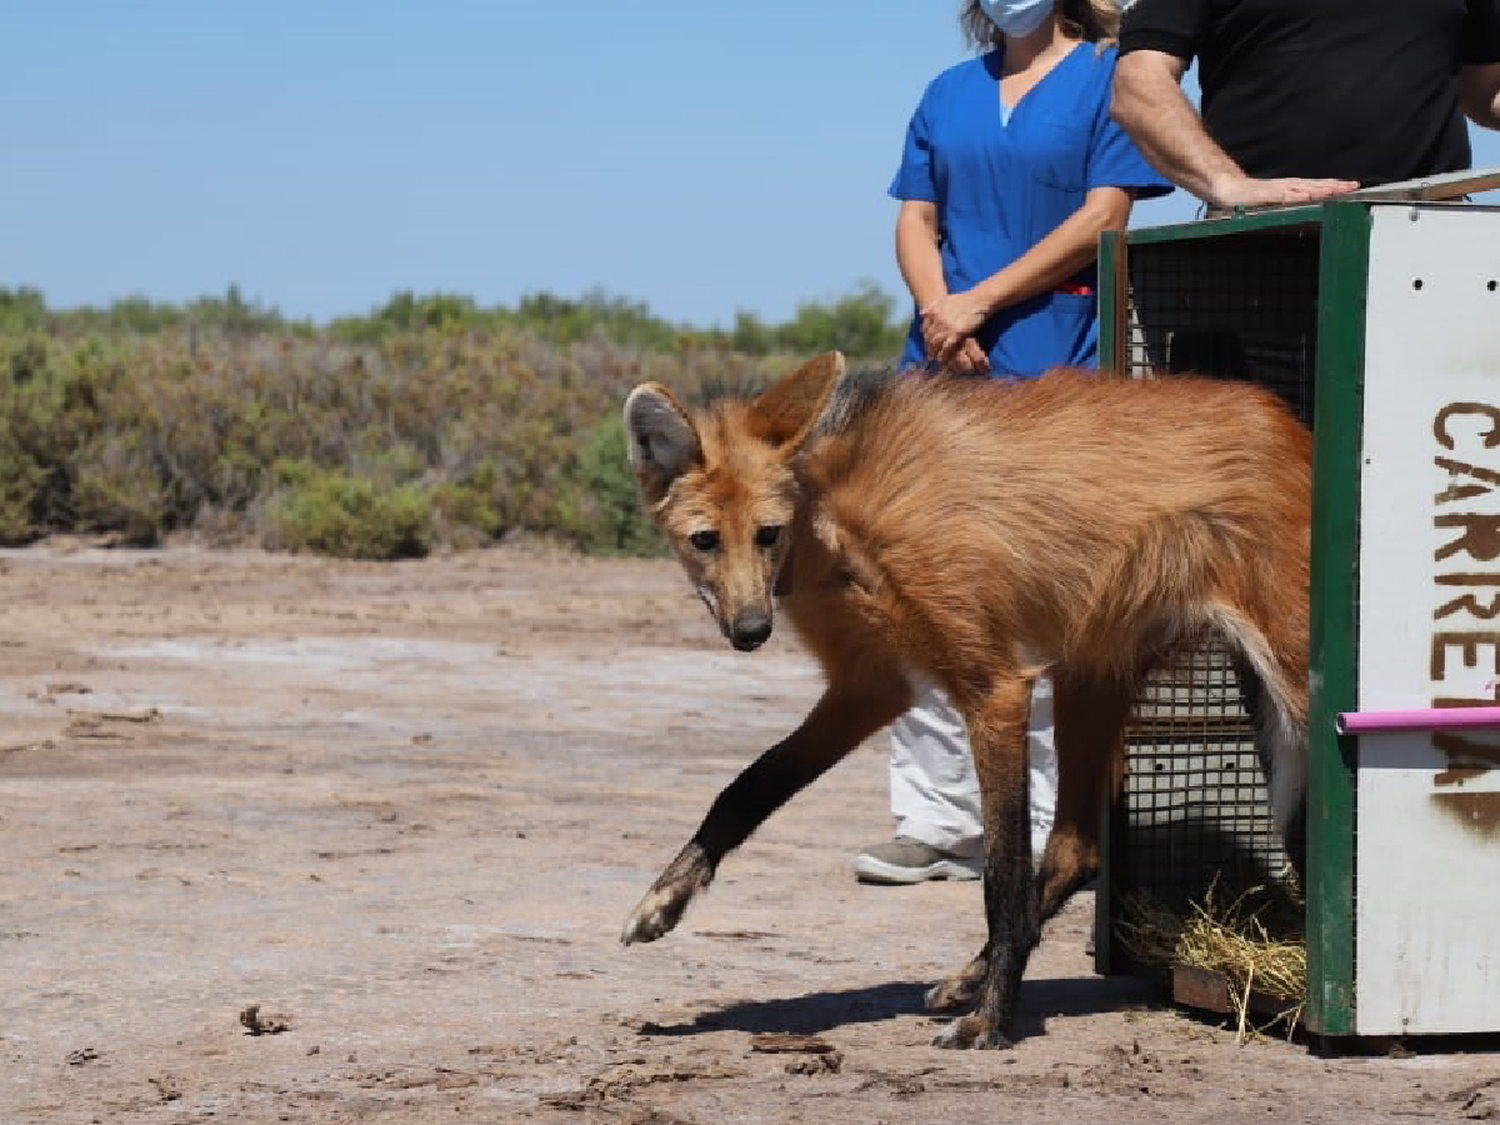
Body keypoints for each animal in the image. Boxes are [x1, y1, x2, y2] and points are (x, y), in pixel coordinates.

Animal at [615, 352, 1308, 1050]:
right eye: (705, 540)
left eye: (767, 533)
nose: (752, 631)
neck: (838, 520)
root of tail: (1289, 420)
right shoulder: (870, 689)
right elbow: (746, 788)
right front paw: (661, 903)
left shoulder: (994, 689)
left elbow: (1002, 877)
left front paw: (993, 1023)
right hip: (1092, 672)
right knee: (1076, 850)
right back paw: (965, 978)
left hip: (1293, 684)